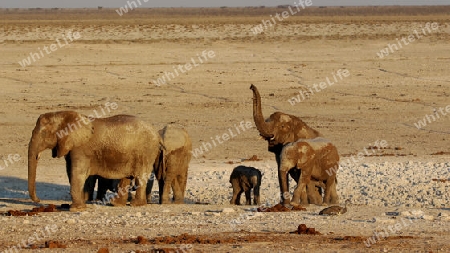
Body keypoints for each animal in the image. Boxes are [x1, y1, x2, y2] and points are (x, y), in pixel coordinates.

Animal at [27, 110, 161, 211]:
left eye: (44, 133)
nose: (39, 200)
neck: (65, 115)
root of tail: (157, 133)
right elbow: (70, 172)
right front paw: (80, 205)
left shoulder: (81, 148)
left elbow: (77, 173)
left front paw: (76, 209)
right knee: (126, 177)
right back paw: (116, 204)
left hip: (146, 152)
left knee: (140, 176)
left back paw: (135, 205)